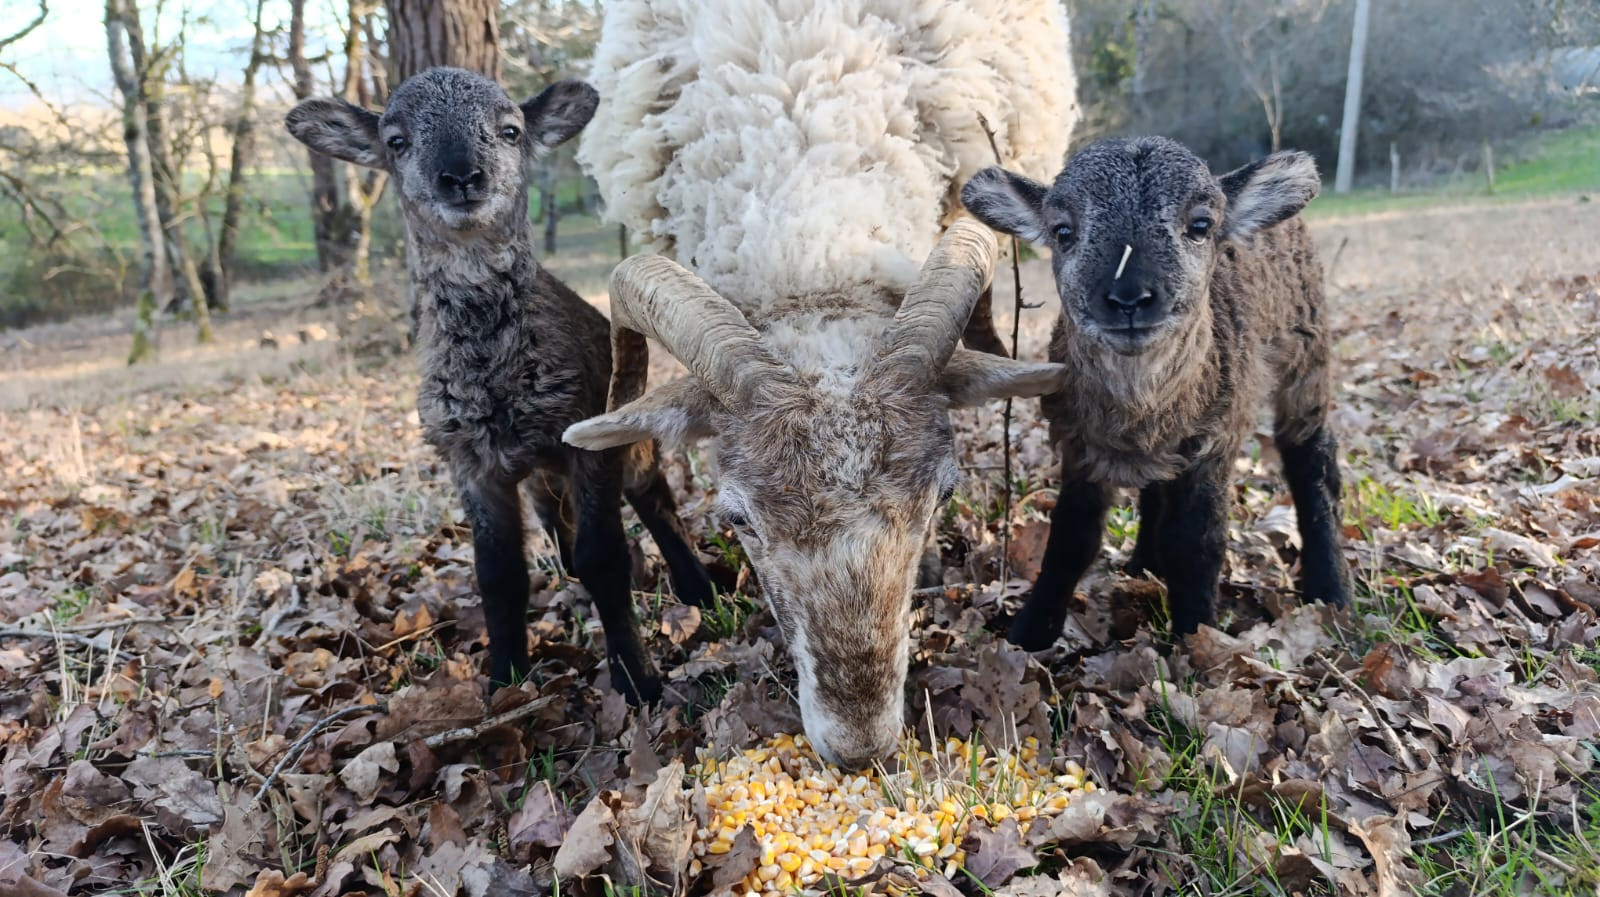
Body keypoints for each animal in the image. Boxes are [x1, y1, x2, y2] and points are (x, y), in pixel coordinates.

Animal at [284, 67, 716, 703]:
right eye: (396, 141)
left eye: (511, 130)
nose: (462, 176)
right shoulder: (469, 461)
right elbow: (499, 574)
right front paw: (504, 680)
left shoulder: (582, 433)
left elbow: (602, 555)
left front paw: (636, 680)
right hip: (538, 477)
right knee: (560, 525)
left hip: (621, 429)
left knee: (654, 497)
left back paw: (696, 588)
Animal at [961, 136, 1352, 645]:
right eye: (1063, 231)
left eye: (1201, 225)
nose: (1128, 298)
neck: (1140, 404)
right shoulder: (1079, 445)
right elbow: (1071, 540)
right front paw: (1029, 635)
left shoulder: (1215, 441)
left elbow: (1197, 542)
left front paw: (1195, 636)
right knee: (1156, 489)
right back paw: (1143, 563)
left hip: (1308, 349)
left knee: (1312, 462)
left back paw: (1330, 590)